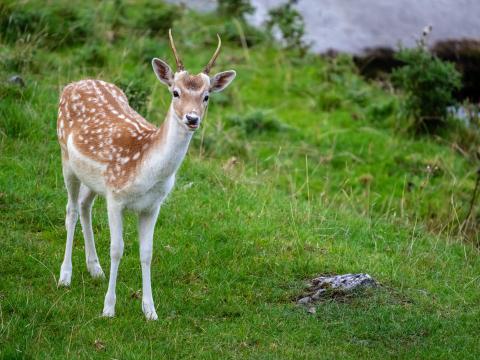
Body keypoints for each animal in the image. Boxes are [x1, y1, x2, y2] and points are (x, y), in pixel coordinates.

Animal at [56, 29, 236, 320]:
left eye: (207, 96)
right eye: (175, 92)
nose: (192, 118)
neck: (146, 170)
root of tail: (73, 84)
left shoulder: (153, 205)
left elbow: (147, 253)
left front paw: (150, 310)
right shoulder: (115, 198)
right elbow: (117, 249)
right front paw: (108, 308)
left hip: (93, 180)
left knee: (84, 205)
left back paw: (95, 268)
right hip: (66, 158)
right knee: (70, 210)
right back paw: (65, 276)